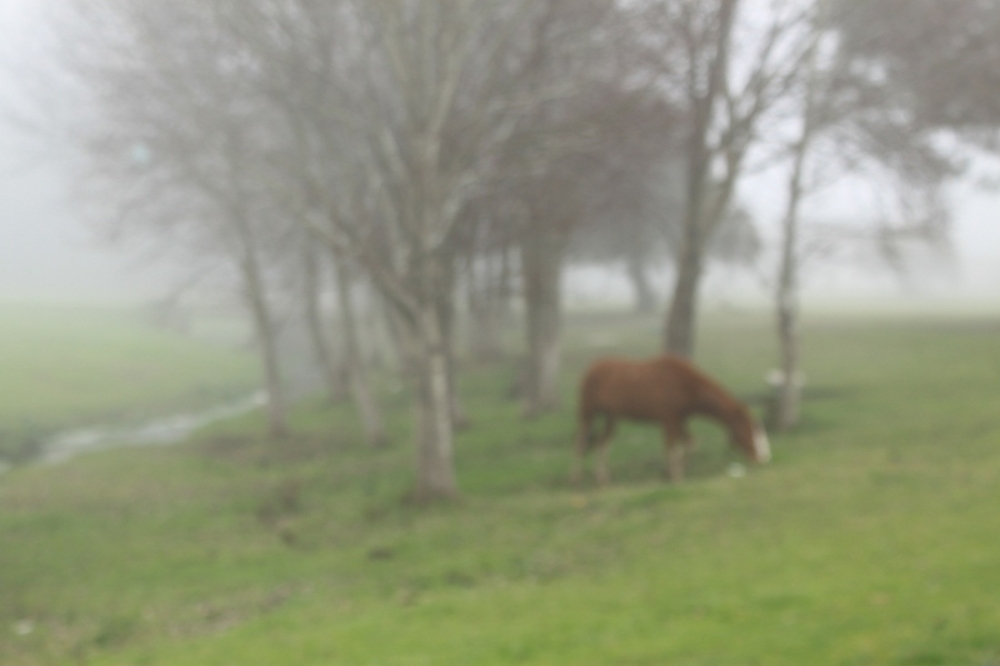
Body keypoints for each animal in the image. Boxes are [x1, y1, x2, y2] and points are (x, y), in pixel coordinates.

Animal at [572, 352, 772, 482]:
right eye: (750, 431)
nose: (763, 458)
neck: (685, 384)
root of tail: (591, 368)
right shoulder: (669, 420)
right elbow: (672, 447)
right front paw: (674, 475)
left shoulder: (679, 420)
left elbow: (689, 443)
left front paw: (677, 470)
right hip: (588, 412)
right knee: (581, 442)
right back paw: (576, 478)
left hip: (611, 417)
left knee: (601, 443)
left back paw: (602, 478)